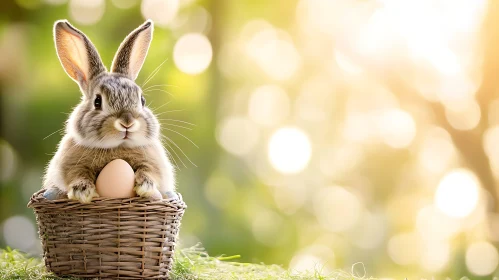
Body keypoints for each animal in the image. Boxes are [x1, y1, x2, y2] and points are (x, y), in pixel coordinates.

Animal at [42, 20, 177, 203]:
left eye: (142, 100)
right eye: (97, 101)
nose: (127, 123)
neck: (116, 148)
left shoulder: (154, 163)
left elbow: (149, 170)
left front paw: (146, 186)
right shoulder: (69, 165)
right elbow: (77, 173)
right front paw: (82, 191)